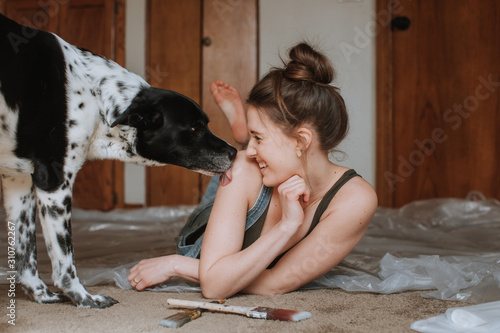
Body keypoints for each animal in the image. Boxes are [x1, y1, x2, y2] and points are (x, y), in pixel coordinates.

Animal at [0, 14, 236, 308]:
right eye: (194, 127)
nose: (234, 152)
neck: (95, 96)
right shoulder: (54, 183)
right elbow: (65, 260)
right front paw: (85, 298)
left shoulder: (18, 183)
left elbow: (25, 252)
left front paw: (41, 295)